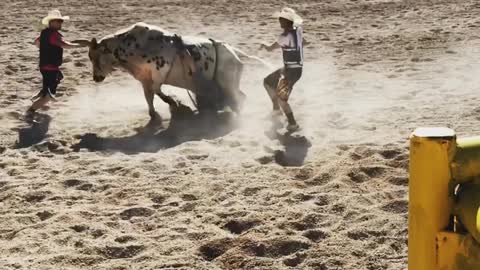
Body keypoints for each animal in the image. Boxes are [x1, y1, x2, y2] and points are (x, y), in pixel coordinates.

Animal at [77, 22, 268, 126]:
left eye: (95, 56)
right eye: (89, 57)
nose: (96, 78)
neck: (135, 46)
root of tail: (234, 52)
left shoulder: (159, 72)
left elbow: (157, 91)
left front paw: (174, 103)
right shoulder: (144, 79)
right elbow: (149, 96)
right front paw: (154, 115)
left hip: (228, 83)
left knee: (239, 98)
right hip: (229, 84)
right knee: (239, 98)